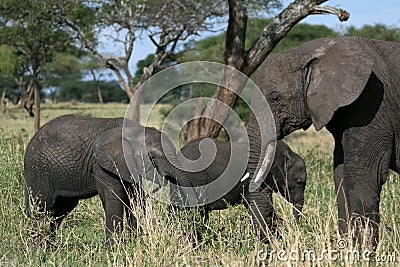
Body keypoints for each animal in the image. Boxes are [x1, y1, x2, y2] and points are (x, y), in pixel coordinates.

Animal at [24, 114, 195, 246]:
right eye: (152, 157)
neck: (135, 131)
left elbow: (135, 197)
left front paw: (135, 242)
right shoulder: (102, 164)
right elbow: (115, 197)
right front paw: (114, 248)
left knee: (60, 209)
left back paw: (50, 246)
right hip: (38, 169)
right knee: (41, 205)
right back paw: (36, 246)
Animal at [250, 36, 400, 249]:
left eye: (275, 97)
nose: (274, 239)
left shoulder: (372, 103)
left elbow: (364, 174)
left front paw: (362, 251)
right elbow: (340, 173)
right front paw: (346, 247)